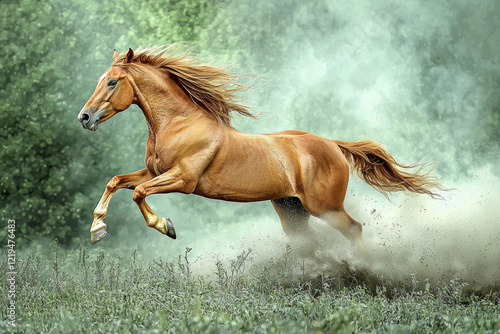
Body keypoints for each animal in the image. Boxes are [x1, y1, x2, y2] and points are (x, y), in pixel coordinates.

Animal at [77, 47, 442, 250]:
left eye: (112, 81)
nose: (84, 117)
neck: (178, 122)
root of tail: (333, 146)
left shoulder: (183, 179)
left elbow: (139, 194)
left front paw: (167, 227)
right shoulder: (153, 172)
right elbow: (116, 181)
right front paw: (97, 230)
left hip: (325, 207)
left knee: (354, 229)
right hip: (292, 210)